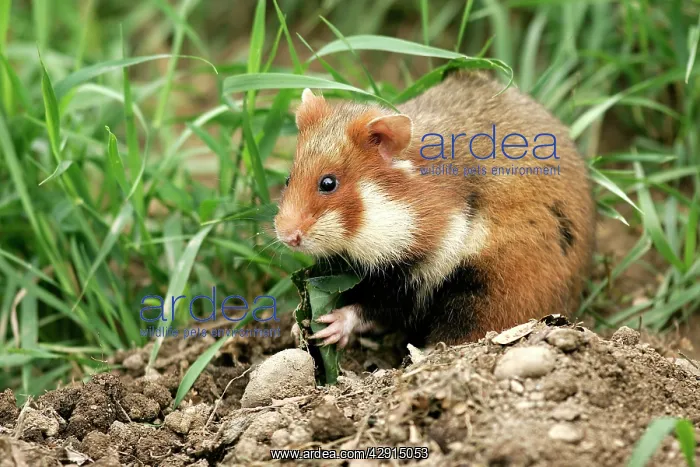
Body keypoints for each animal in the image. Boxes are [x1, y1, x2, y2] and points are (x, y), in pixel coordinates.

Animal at [274, 71, 595, 348]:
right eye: (288, 179)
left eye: (328, 183)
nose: (287, 237)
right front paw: (297, 327)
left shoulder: (427, 265)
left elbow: (377, 307)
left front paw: (331, 327)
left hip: (492, 287)